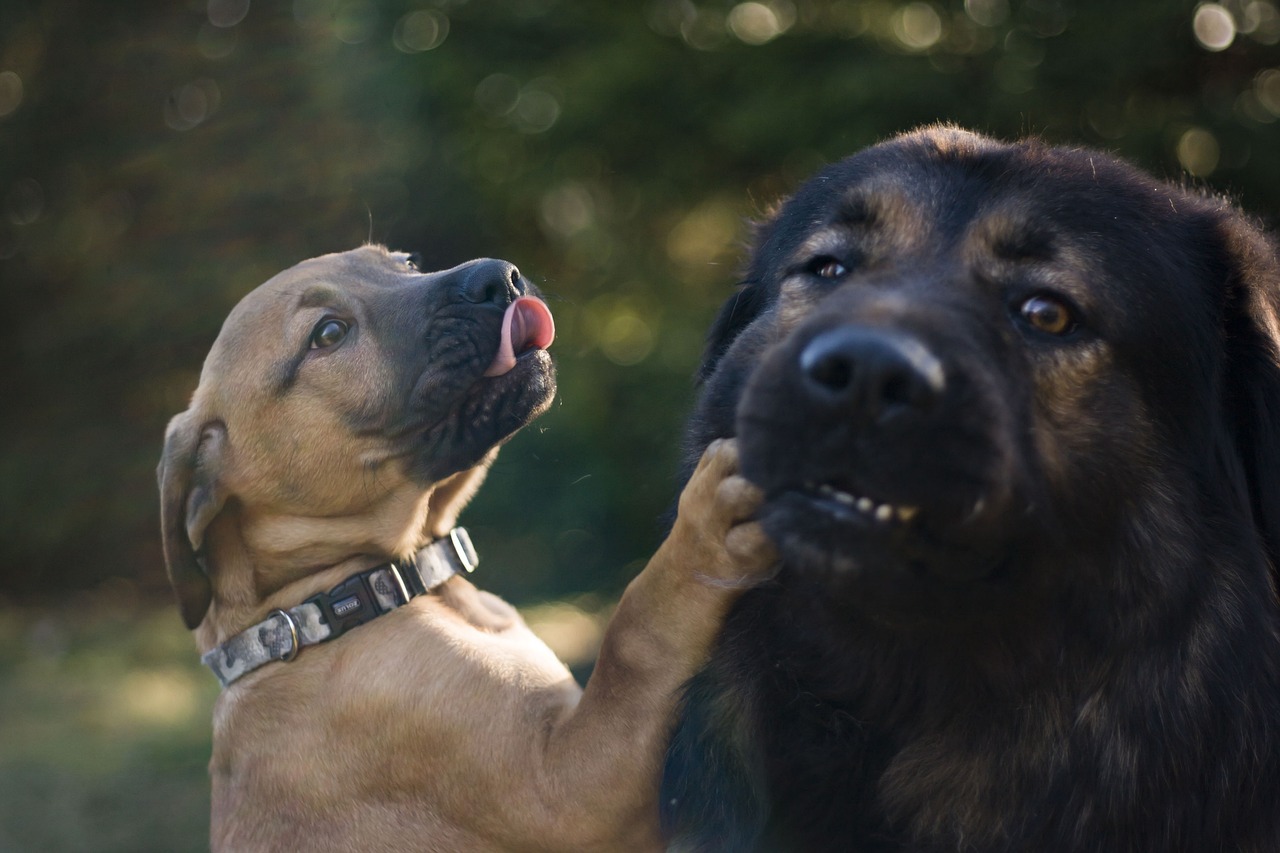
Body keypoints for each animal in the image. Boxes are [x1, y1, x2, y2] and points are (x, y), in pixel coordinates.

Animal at [160, 242, 778, 845]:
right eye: (329, 334)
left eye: (404, 262)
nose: (500, 278)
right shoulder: (565, 789)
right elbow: (636, 632)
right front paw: (702, 532)